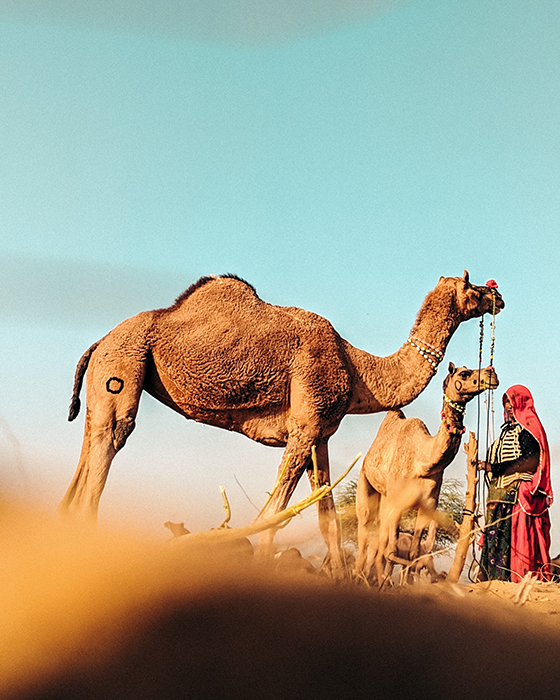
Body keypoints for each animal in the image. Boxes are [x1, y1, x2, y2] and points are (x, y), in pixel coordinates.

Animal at [356, 360, 496, 584]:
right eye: (465, 374)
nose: (492, 376)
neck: (422, 462)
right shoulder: (397, 503)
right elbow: (392, 553)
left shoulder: (428, 504)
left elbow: (412, 554)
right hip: (366, 485)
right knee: (365, 537)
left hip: (385, 500)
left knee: (379, 546)